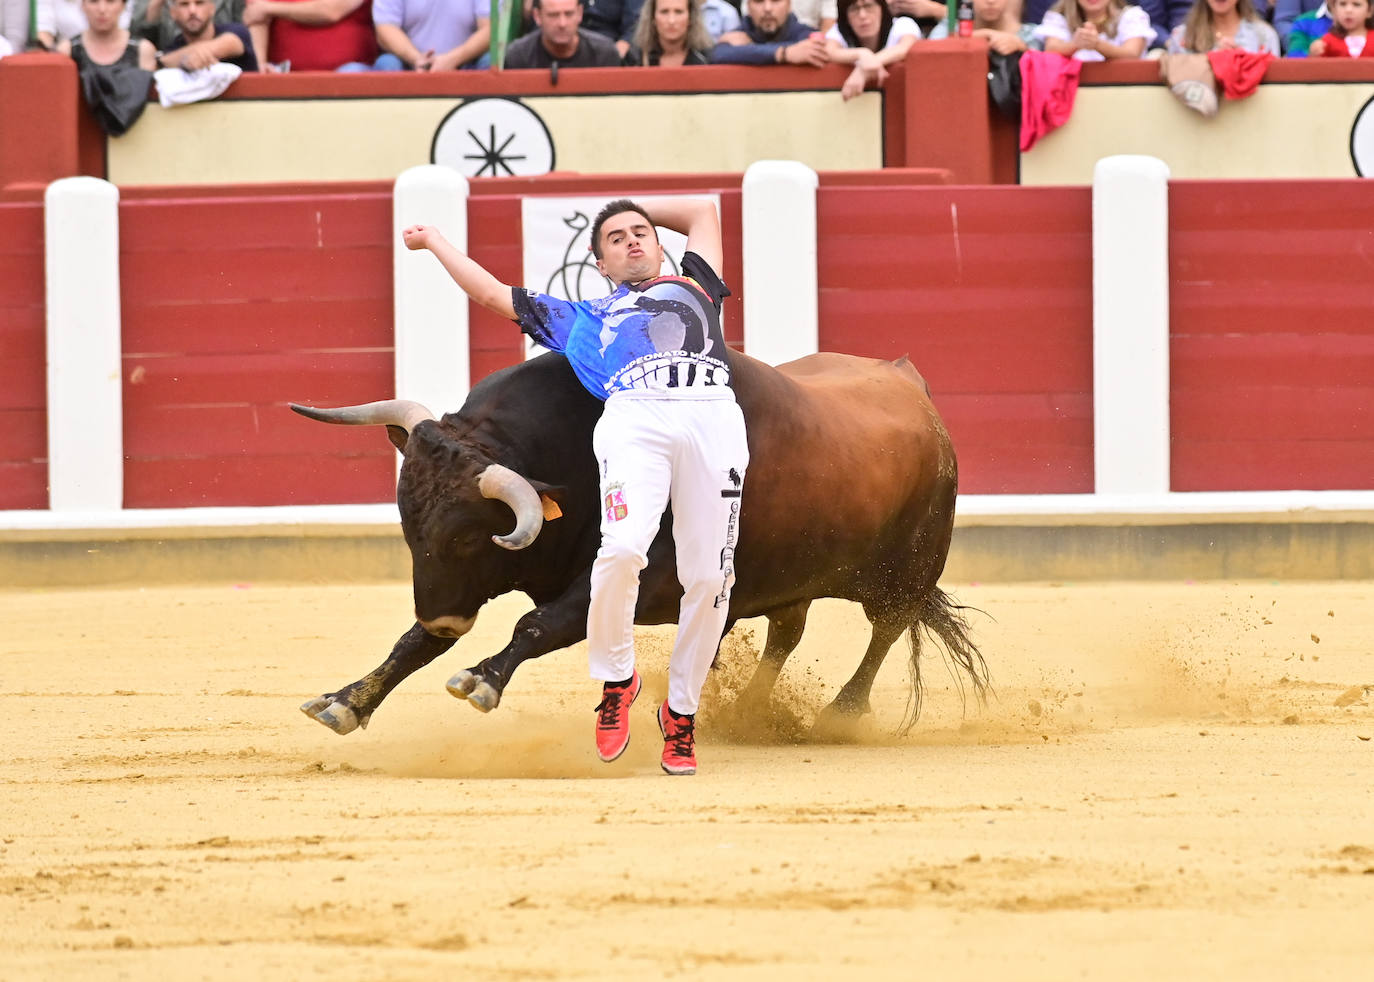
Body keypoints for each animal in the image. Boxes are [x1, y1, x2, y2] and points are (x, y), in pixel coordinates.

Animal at [295, 346, 989, 736]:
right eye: (409, 521)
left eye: (468, 537)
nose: (441, 616)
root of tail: (912, 388)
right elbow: (414, 644)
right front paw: (345, 701)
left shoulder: (641, 576)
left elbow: (541, 622)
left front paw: (482, 679)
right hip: (785, 576)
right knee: (786, 633)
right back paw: (746, 710)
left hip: (905, 571)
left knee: (885, 630)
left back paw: (840, 713)